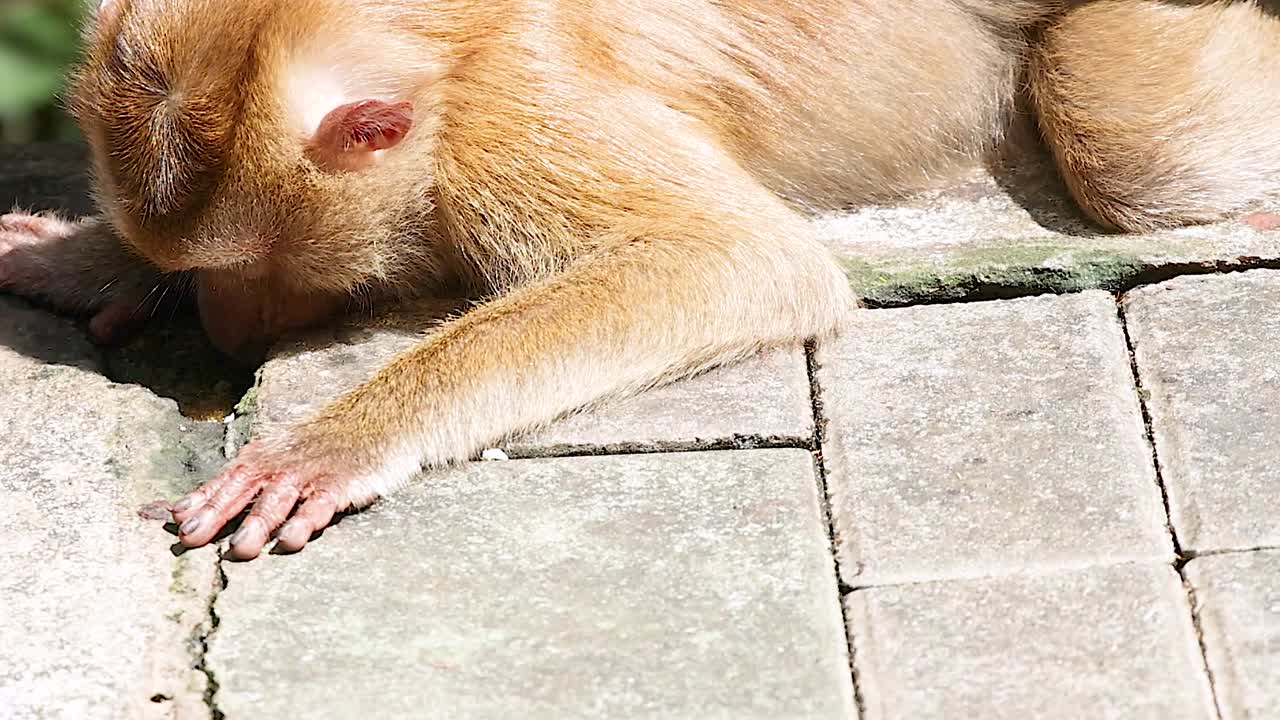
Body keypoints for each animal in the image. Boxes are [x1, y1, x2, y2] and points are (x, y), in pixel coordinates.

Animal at [0, 0, 1276, 560]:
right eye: (199, 270)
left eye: (248, 267)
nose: (222, 326)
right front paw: (86, 260)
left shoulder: (511, 116)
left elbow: (733, 260)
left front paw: (330, 445)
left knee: (1139, 163)